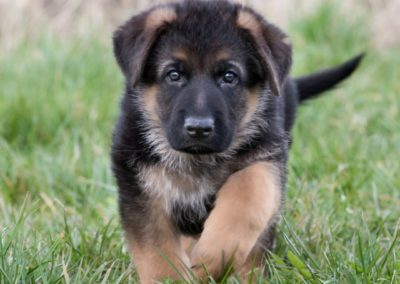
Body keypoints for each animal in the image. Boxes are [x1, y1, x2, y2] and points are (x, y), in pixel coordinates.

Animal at [111, 0, 364, 282]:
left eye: (229, 77)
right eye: (173, 75)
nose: (199, 128)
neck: (197, 160)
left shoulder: (267, 158)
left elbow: (248, 194)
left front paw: (213, 257)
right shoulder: (140, 188)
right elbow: (157, 254)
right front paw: (173, 276)